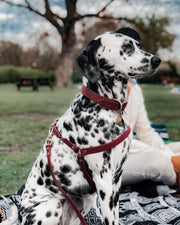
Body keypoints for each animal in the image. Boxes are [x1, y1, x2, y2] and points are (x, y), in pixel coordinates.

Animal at [17, 27, 160, 225]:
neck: (106, 106)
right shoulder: (104, 181)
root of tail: (20, 212)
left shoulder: (116, 179)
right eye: (126, 47)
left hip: (84, 201)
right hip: (52, 205)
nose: (157, 60)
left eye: (138, 45)